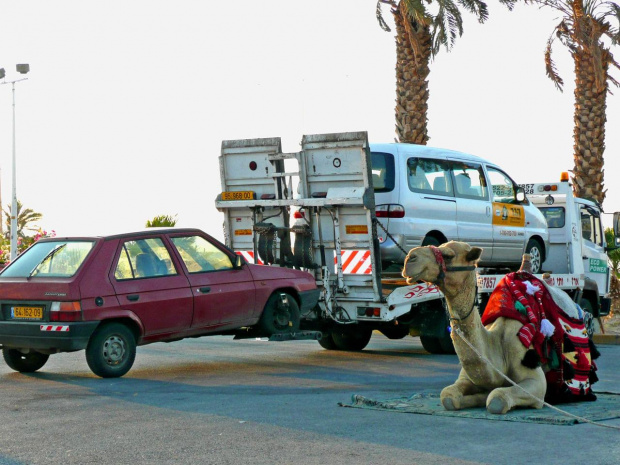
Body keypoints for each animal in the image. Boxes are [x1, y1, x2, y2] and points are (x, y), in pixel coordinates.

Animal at [402, 239, 592, 414]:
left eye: (448, 255)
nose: (410, 258)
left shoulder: (535, 379)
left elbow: (497, 399)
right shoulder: (466, 379)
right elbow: (448, 396)